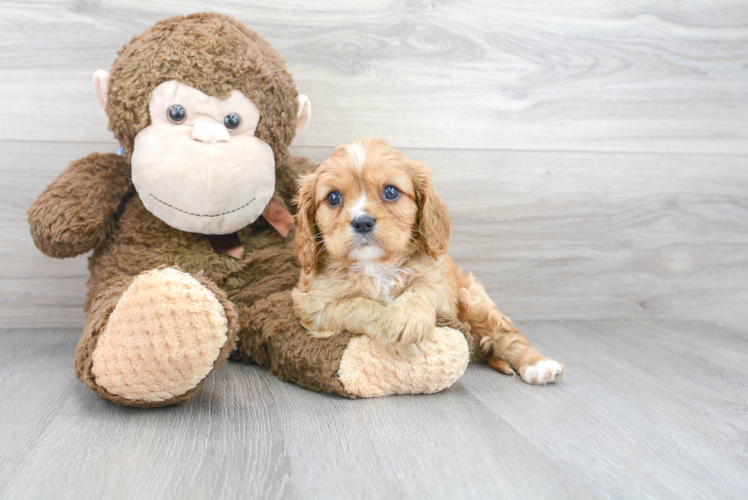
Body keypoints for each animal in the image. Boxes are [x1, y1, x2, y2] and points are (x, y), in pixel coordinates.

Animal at [292, 137, 560, 382]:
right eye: (333, 198)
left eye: (390, 191)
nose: (362, 222)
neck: (377, 266)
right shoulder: (313, 304)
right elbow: (356, 305)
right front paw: (385, 324)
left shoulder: (442, 290)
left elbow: (422, 288)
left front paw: (405, 319)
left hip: (474, 300)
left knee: (506, 337)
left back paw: (538, 365)